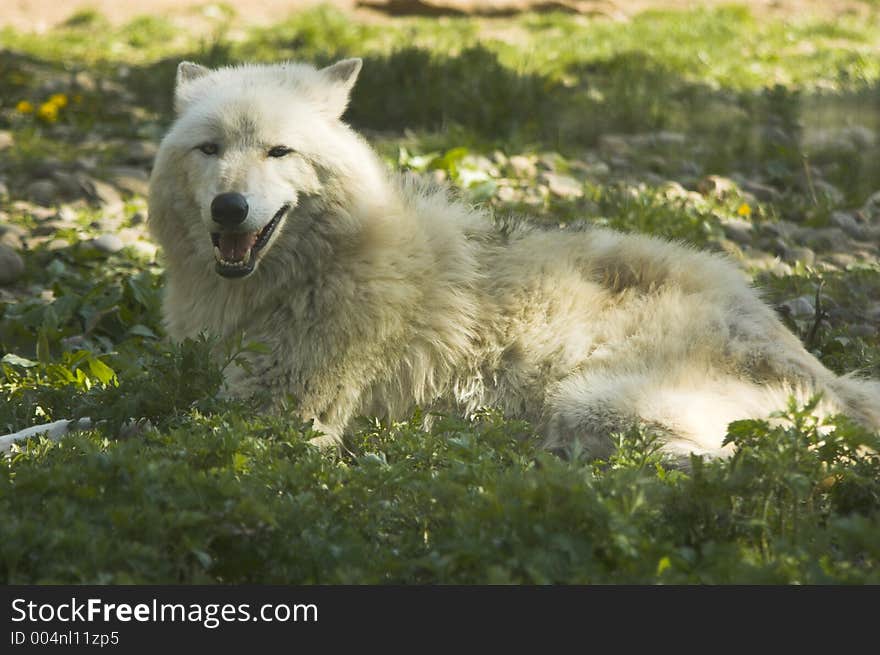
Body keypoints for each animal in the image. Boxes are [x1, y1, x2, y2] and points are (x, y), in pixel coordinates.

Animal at [146, 60, 880, 462]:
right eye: (210, 149)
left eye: (280, 152)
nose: (230, 209)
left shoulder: (290, 419)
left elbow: (146, 431)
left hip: (596, 403)